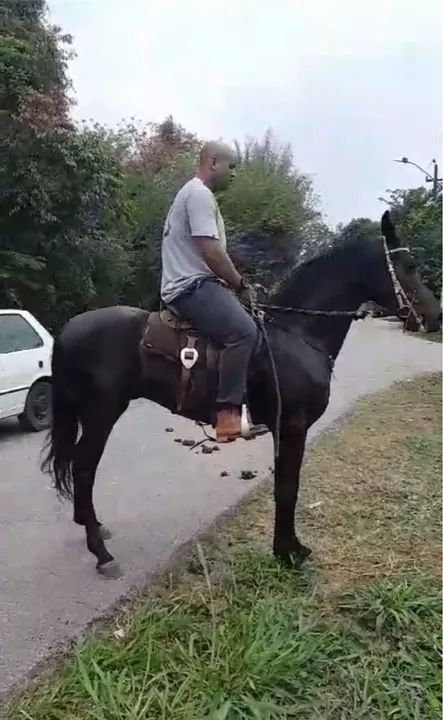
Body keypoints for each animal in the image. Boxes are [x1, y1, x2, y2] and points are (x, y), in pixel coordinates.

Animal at [42, 211, 440, 576]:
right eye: (408, 266)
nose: (434, 316)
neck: (296, 333)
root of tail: (68, 330)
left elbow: (285, 485)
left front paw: (288, 548)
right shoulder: (292, 425)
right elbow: (288, 488)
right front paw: (288, 553)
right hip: (101, 413)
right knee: (84, 468)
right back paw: (101, 553)